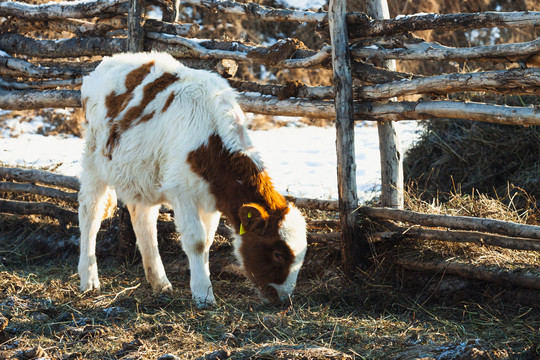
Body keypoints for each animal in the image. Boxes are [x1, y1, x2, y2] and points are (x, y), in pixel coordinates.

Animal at [79, 52, 308, 306]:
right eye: (277, 253)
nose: (284, 299)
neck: (210, 141)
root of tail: (109, 60)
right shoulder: (183, 192)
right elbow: (196, 241)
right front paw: (203, 294)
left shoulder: (213, 198)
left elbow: (207, 241)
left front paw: (203, 285)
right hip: (93, 161)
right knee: (90, 215)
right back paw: (89, 280)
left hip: (143, 174)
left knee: (144, 220)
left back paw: (160, 282)